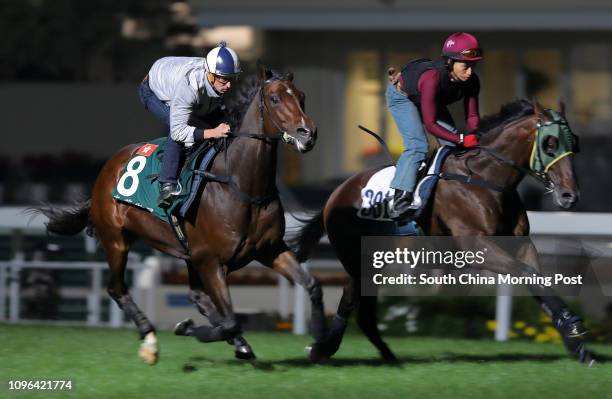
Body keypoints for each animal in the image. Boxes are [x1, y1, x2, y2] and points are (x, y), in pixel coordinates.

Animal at [35, 65, 328, 366]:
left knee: (196, 295)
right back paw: (150, 339)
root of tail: (108, 168)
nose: (308, 133)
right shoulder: (210, 261)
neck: (241, 185)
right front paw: (188, 328)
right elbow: (231, 320)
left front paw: (319, 345)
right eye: (275, 99)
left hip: (187, 255)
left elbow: (313, 286)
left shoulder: (269, 249)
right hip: (116, 240)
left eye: (302, 97)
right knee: (117, 289)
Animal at [290, 99, 596, 366]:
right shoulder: (476, 245)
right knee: (353, 304)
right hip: (359, 260)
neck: (485, 178)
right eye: (550, 143)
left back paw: (382, 356)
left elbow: (538, 280)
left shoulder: (521, 244)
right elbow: (526, 272)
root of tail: (335, 194)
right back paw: (324, 349)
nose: (570, 195)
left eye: (574, 142)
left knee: (361, 311)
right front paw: (573, 323)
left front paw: (578, 345)